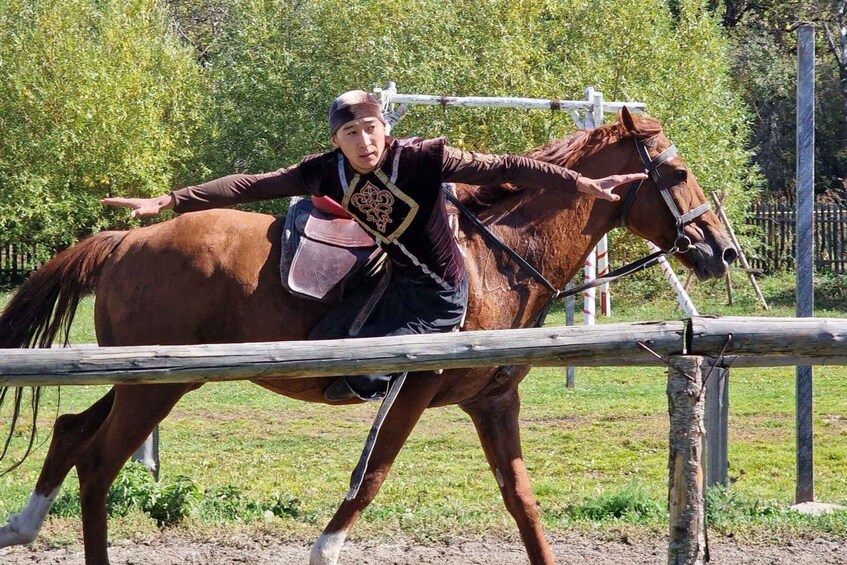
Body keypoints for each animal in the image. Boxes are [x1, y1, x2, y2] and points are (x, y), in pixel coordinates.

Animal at [0, 107, 736, 564]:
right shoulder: (410, 389)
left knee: (71, 430)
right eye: (675, 174)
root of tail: (126, 241)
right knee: (99, 463)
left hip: (154, 379)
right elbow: (371, 476)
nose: (721, 251)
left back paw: (25, 522)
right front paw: (324, 549)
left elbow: (522, 502)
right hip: (155, 386)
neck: (492, 259)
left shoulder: (492, 401)